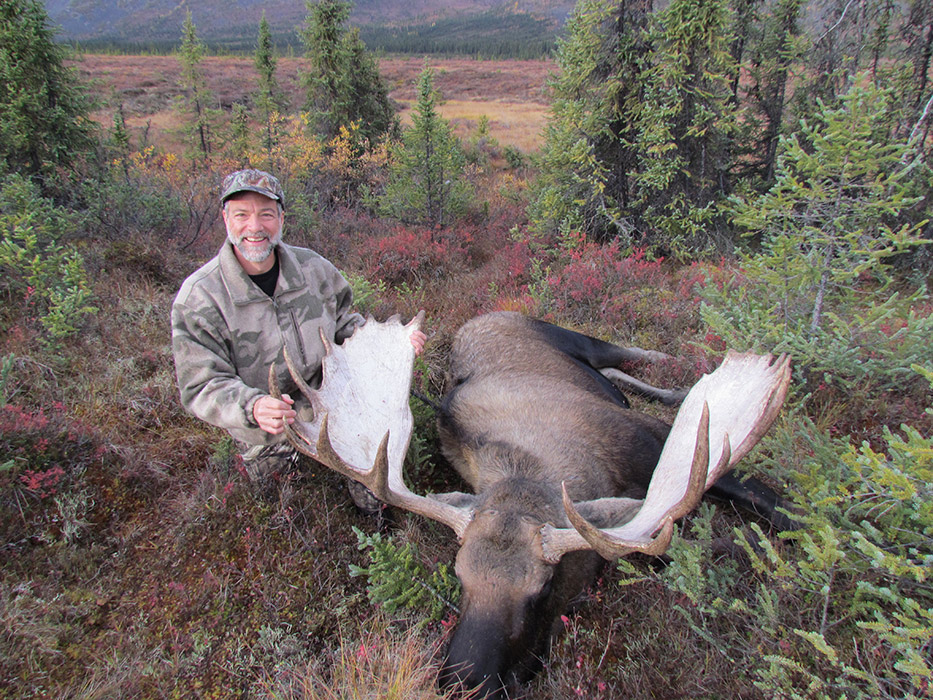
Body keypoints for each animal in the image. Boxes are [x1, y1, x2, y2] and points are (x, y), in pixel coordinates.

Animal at [270, 311, 792, 699]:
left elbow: (767, 499)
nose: (463, 683)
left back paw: (675, 369)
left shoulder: (650, 436)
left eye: (544, 588)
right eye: (459, 574)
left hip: (568, 335)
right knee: (612, 374)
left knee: (622, 353)